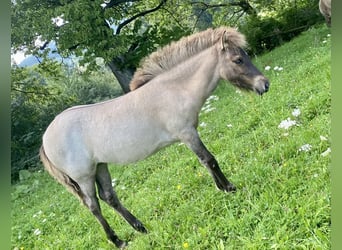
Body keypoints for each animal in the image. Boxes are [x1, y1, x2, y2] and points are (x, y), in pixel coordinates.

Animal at [40, 26, 270, 247]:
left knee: (109, 197)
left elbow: (204, 162)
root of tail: (46, 137)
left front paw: (221, 188)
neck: (174, 89)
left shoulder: (189, 134)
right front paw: (229, 188)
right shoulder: (187, 134)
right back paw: (118, 241)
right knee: (93, 206)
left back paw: (140, 228)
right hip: (84, 177)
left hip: (100, 166)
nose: (264, 84)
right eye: (238, 59)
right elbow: (209, 160)